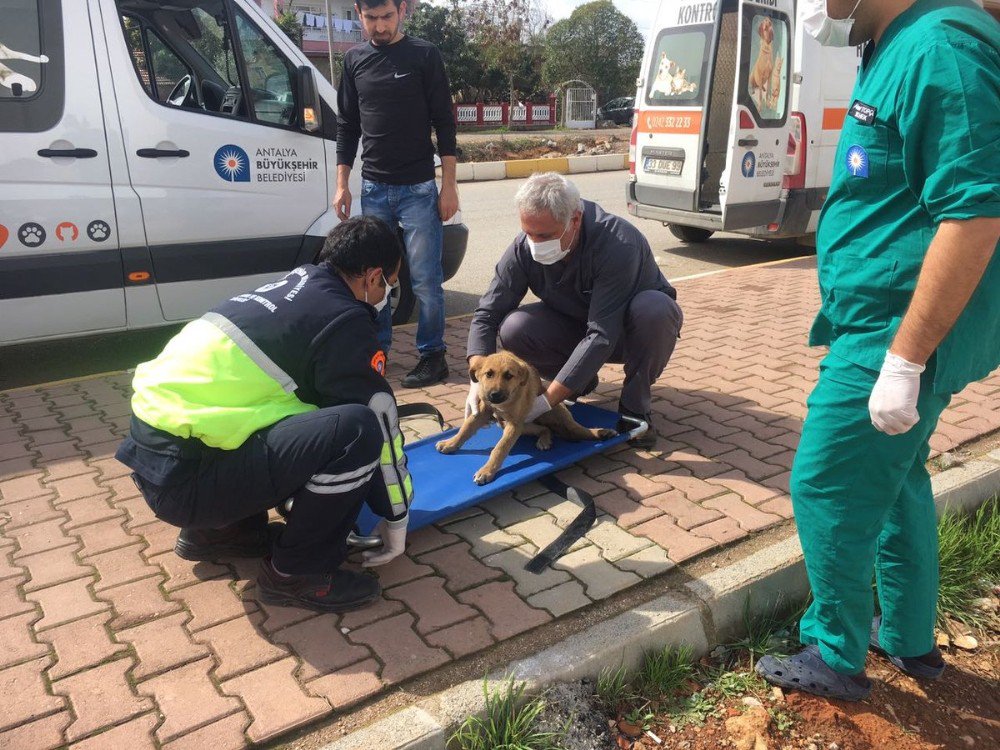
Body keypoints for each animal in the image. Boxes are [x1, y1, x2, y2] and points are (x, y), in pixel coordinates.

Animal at [438, 352, 616, 488]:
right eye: (488, 374)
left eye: (508, 376)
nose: (494, 395)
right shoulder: (483, 412)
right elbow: (465, 429)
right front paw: (450, 443)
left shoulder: (514, 424)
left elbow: (500, 448)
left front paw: (487, 471)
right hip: (522, 426)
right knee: (546, 429)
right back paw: (545, 439)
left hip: (555, 413)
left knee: (577, 431)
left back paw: (602, 432)